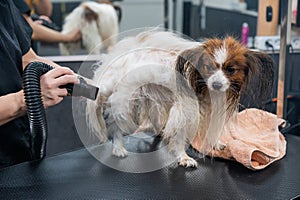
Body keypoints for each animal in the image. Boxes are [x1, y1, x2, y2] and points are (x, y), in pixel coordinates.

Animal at [85, 30, 274, 167]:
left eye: (231, 70)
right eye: (208, 68)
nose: (217, 85)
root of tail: (126, 54)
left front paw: (215, 144)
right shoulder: (184, 110)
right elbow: (180, 136)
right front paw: (183, 157)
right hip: (124, 100)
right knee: (114, 123)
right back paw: (118, 148)